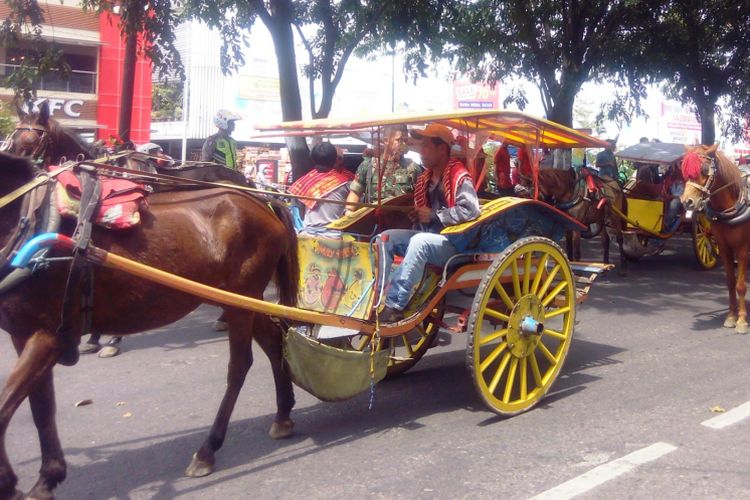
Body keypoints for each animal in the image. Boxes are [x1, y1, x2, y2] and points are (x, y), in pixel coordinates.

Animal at [0, 153, 300, 500]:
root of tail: (262, 201)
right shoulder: (27, 334)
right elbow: (41, 407)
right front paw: (47, 478)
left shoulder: (47, 335)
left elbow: (6, 409)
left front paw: (12, 481)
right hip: (241, 300)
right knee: (273, 341)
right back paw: (283, 415)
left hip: (242, 298)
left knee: (239, 366)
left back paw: (208, 449)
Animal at [684, 144, 748, 332]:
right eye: (684, 171)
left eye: (704, 169)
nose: (687, 201)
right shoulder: (725, 248)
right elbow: (731, 283)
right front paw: (731, 317)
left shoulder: (742, 249)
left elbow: (741, 286)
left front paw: (742, 321)